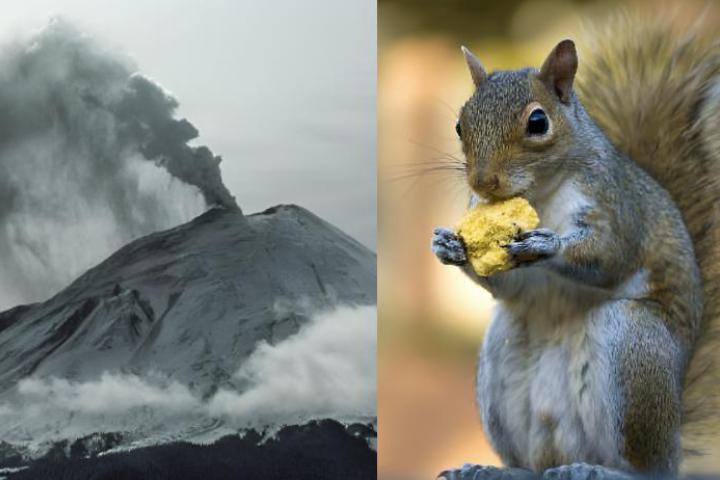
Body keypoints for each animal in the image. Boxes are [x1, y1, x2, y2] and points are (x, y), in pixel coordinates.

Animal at [431, 16, 720, 480]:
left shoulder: (617, 208)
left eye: (537, 122)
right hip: (501, 363)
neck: (541, 193)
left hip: (634, 347)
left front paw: (548, 245)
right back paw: (492, 469)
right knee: (529, 466)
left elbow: (609, 256)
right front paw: (448, 245)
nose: (482, 182)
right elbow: (503, 285)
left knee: (647, 470)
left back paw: (601, 470)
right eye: (460, 125)